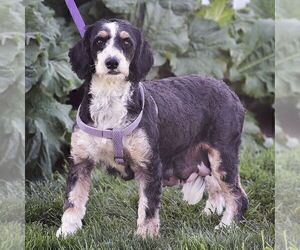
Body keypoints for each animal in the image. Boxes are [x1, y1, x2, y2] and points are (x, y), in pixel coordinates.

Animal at [56, 18, 248, 237]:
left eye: (127, 42)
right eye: (99, 41)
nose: (112, 62)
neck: (111, 100)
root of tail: (231, 92)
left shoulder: (149, 164)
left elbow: (148, 206)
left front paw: (145, 236)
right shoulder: (80, 162)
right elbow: (73, 202)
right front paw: (66, 232)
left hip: (223, 156)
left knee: (238, 196)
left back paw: (226, 226)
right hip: (205, 157)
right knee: (216, 187)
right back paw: (210, 213)